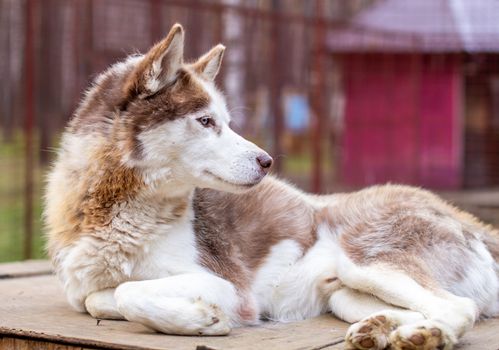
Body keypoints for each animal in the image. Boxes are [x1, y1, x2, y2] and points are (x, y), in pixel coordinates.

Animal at [45, 24, 498, 350]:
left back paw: (428, 336)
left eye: (227, 121)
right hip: (346, 295)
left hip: (369, 262)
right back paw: (380, 329)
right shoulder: (85, 289)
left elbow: (127, 292)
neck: (116, 210)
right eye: (206, 121)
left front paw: (203, 320)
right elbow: (98, 297)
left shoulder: (226, 286)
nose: (267, 161)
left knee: (461, 309)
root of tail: (464, 218)